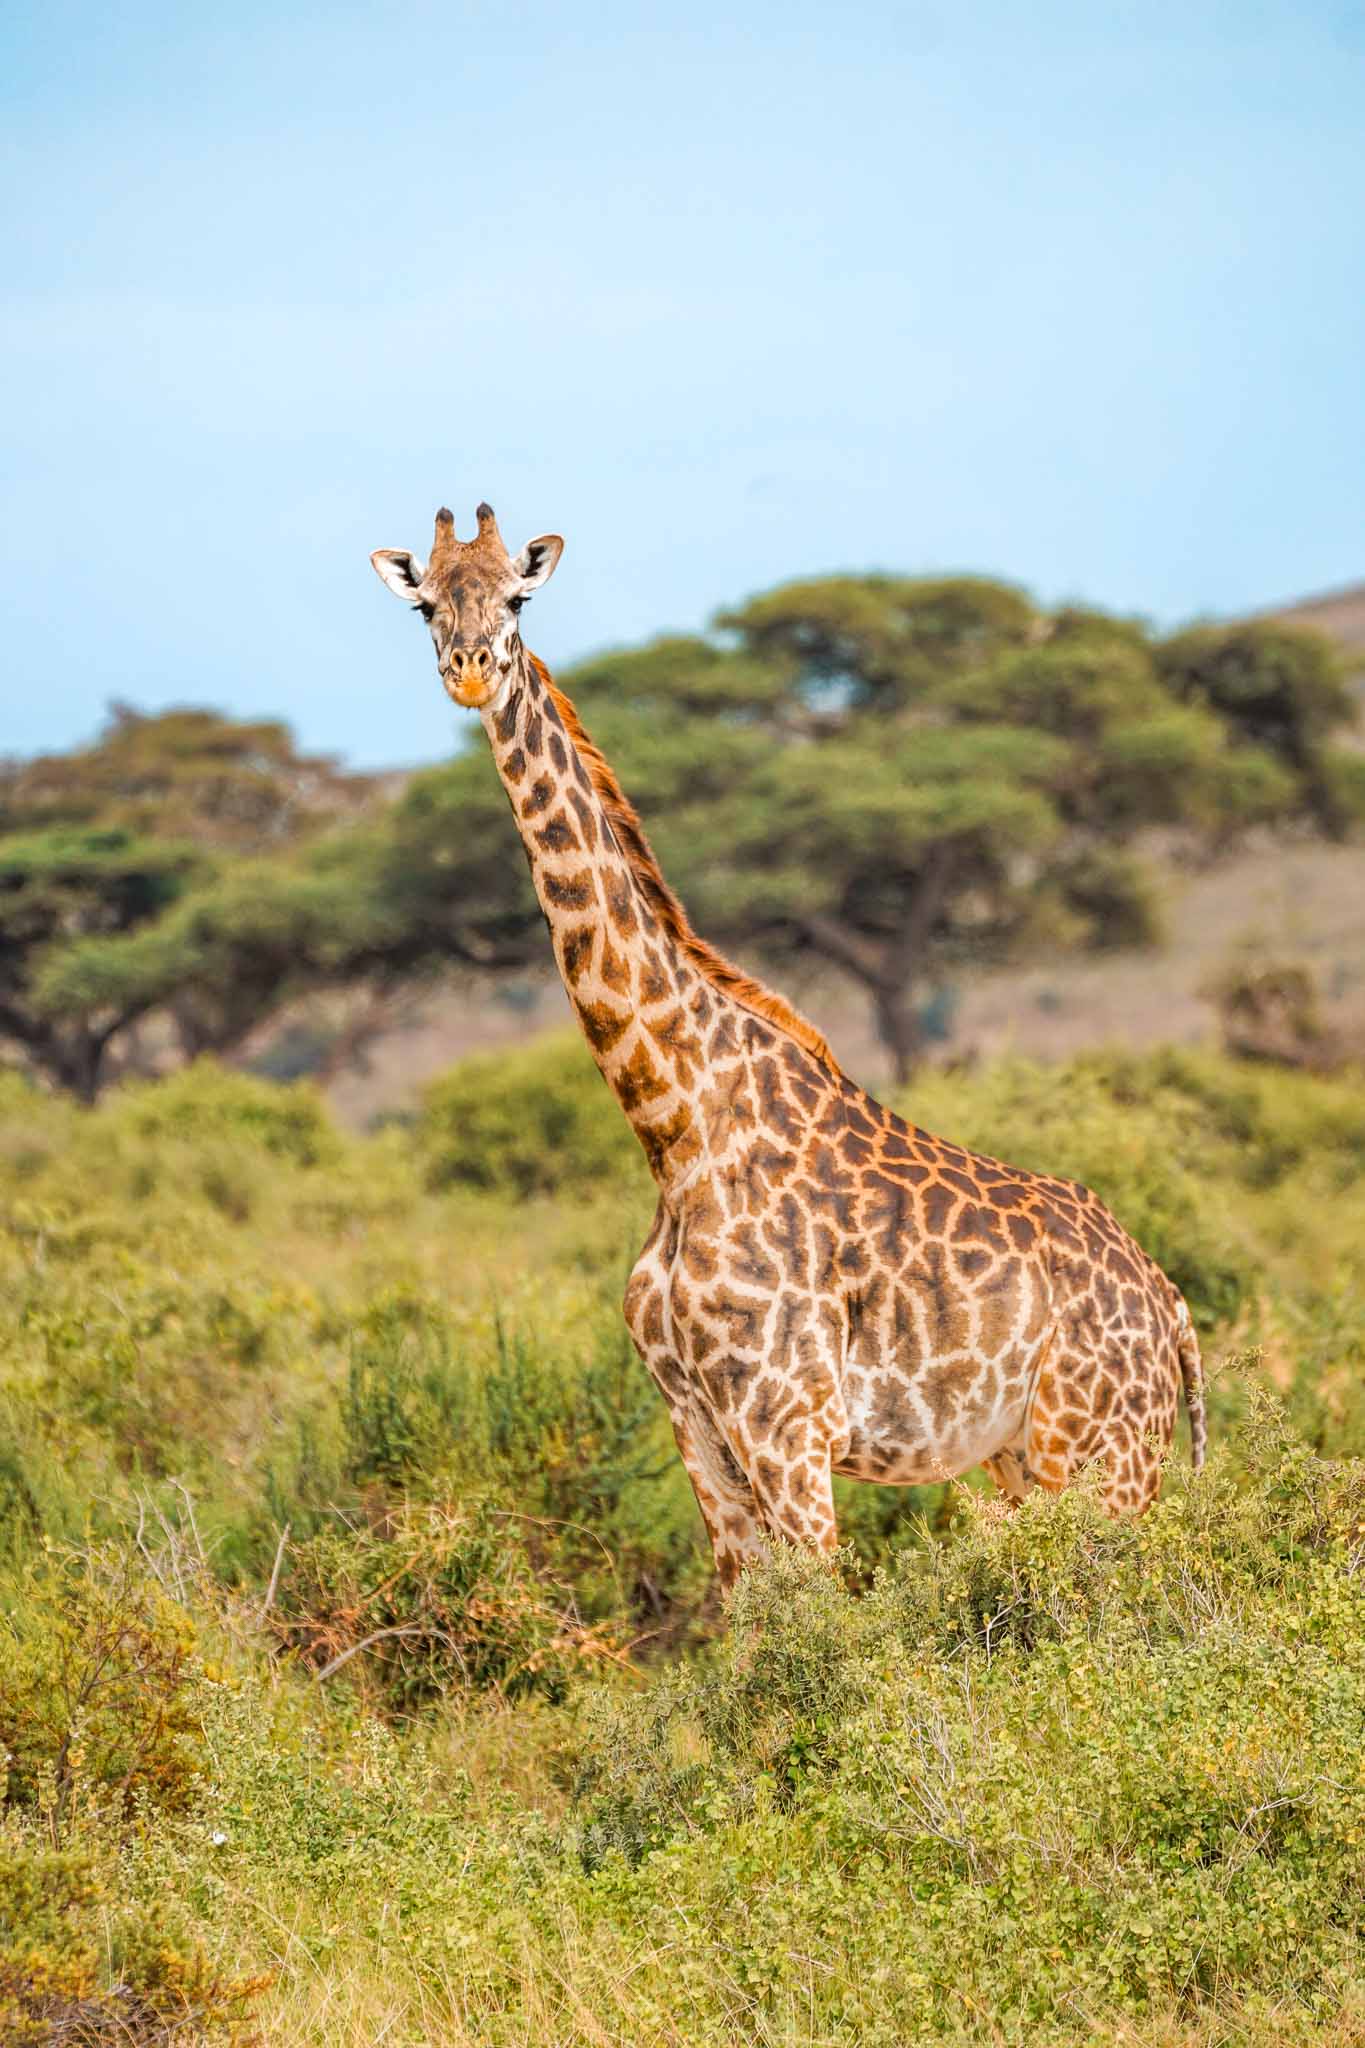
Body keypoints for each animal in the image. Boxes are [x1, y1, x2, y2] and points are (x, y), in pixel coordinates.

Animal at [372, 504, 1208, 1588]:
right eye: (427, 603)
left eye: (516, 599)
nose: (471, 670)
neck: (674, 1127)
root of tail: (1170, 1306)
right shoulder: (694, 1422)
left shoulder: (786, 1419)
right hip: (1023, 1456)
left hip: (1102, 1449)